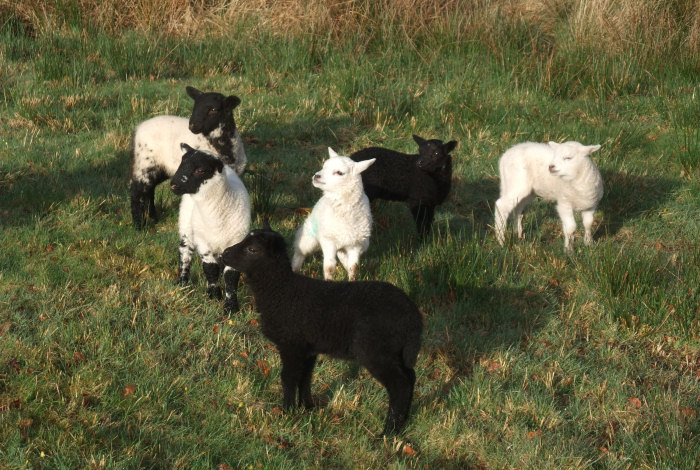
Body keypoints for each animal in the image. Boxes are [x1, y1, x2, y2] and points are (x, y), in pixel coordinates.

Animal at [130, 85, 247, 230]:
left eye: (213, 109)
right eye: (195, 107)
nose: (192, 125)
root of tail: (138, 129)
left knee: (148, 190)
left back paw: (153, 218)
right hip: (144, 163)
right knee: (137, 191)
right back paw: (139, 225)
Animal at [170, 143, 251, 313]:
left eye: (201, 170)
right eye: (181, 163)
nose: (173, 185)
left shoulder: (236, 241)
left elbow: (231, 275)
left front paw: (231, 307)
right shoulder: (202, 241)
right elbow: (210, 268)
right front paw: (214, 295)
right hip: (186, 223)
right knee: (185, 251)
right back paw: (182, 282)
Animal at [221, 224, 423, 435]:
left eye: (252, 249)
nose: (224, 254)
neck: (281, 290)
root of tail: (413, 317)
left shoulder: (291, 344)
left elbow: (288, 377)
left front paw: (287, 412)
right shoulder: (308, 347)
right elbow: (305, 377)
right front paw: (307, 407)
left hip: (376, 350)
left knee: (399, 385)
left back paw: (388, 432)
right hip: (395, 351)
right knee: (410, 377)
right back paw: (402, 422)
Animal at [292, 148, 376, 281]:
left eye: (339, 172)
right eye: (324, 166)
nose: (317, 176)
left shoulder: (355, 245)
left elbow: (354, 267)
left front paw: (352, 280)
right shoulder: (328, 240)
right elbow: (330, 267)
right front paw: (329, 281)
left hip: (352, 243)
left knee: (343, 257)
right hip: (309, 236)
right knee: (300, 251)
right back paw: (294, 269)